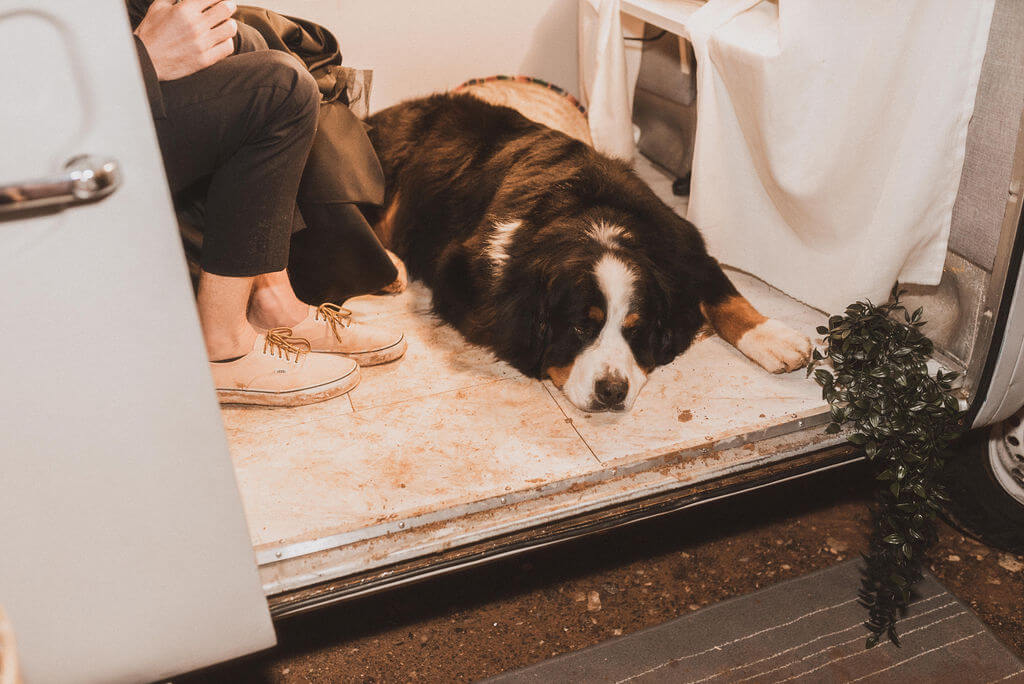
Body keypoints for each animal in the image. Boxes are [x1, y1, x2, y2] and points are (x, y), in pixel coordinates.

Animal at [364, 92, 811, 411]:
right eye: (581, 327)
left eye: (636, 330)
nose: (612, 390)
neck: (591, 218)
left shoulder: (683, 243)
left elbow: (724, 294)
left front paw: (774, 338)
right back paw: (391, 269)